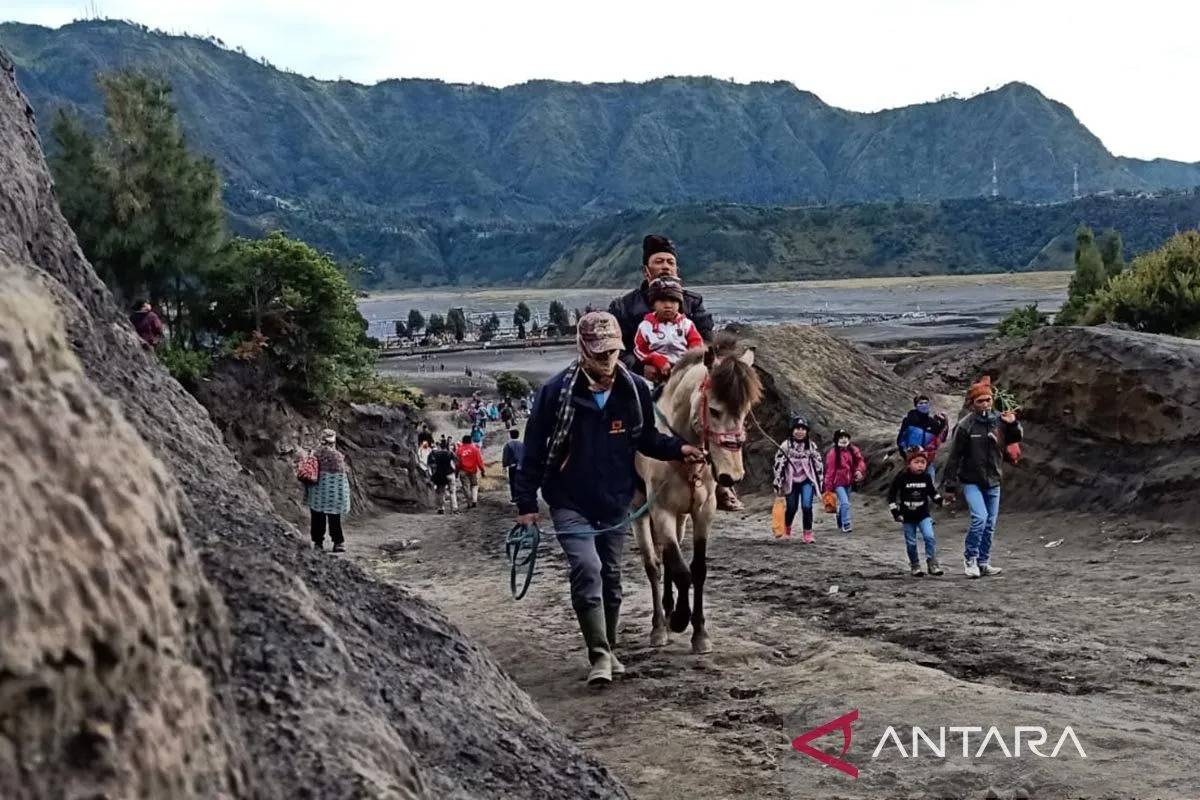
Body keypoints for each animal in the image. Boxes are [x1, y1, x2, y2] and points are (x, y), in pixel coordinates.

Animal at [633, 340, 763, 657]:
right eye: (714, 411)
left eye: (745, 411)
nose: (731, 476)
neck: (680, 452)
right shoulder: (661, 511)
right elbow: (681, 571)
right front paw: (681, 619)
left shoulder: (703, 511)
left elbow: (697, 569)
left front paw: (699, 632)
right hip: (640, 510)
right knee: (653, 564)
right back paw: (660, 625)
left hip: (681, 516)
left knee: (668, 556)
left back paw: (668, 610)